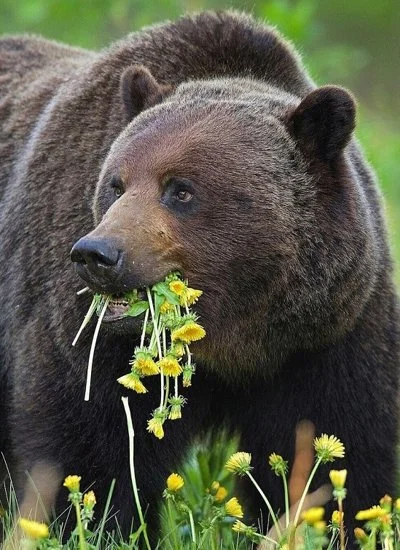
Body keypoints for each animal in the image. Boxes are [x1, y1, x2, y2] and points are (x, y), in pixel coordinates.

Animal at [0, 8, 398, 548]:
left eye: (181, 190)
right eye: (115, 183)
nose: (96, 253)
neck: (239, 337)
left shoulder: (330, 333)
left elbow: (342, 439)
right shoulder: (86, 333)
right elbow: (90, 445)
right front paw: (91, 524)